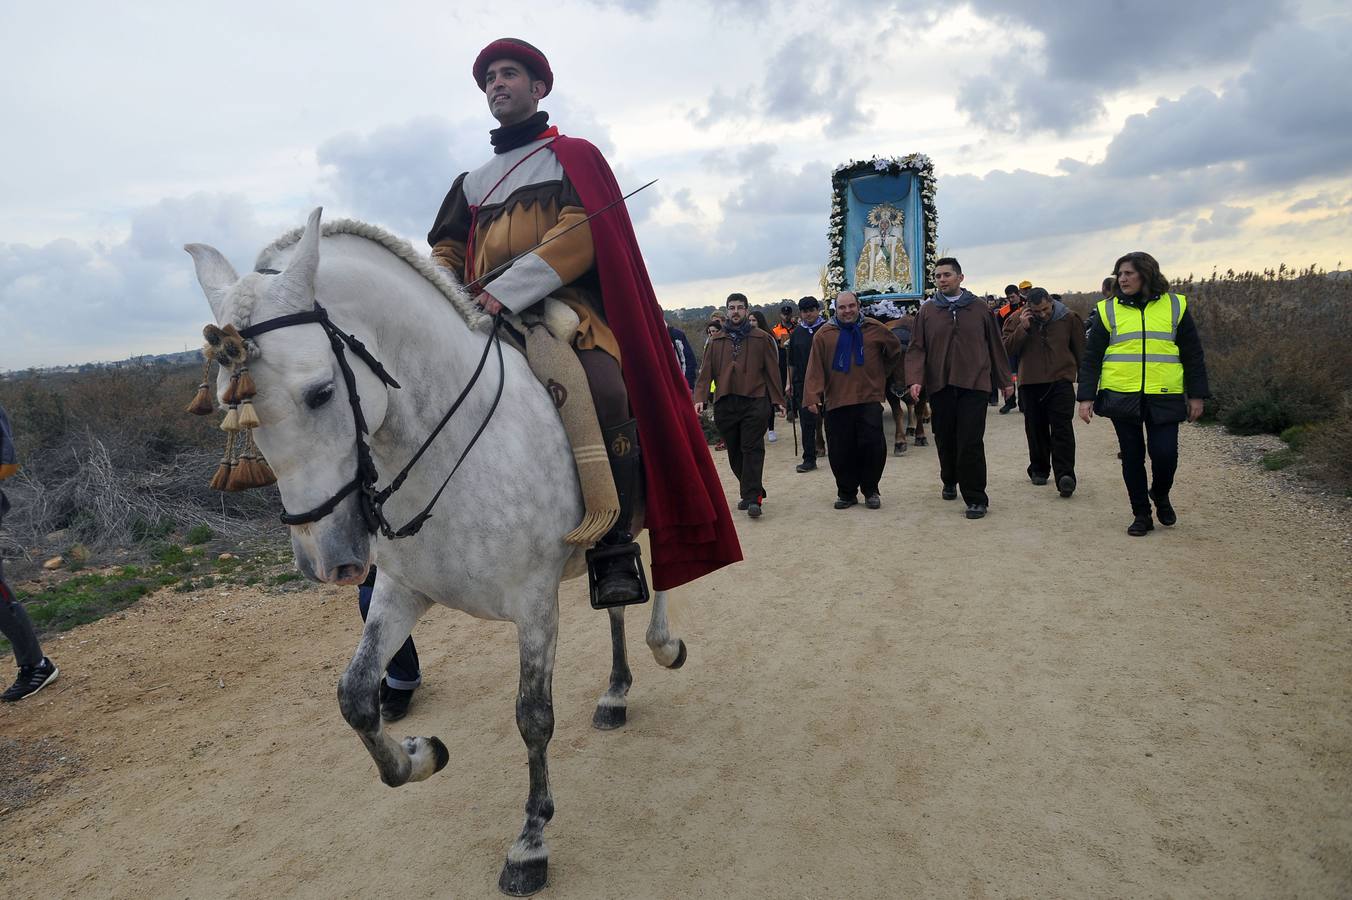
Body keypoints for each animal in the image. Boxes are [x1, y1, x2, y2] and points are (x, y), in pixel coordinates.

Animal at [187, 208, 686, 891]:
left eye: (321, 393)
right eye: (229, 405)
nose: (325, 561)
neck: (452, 441)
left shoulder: (535, 605)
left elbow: (534, 716)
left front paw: (530, 843)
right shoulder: (403, 592)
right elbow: (354, 696)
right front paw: (419, 755)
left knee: (663, 573)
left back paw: (663, 644)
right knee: (615, 602)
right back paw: (615, 692)